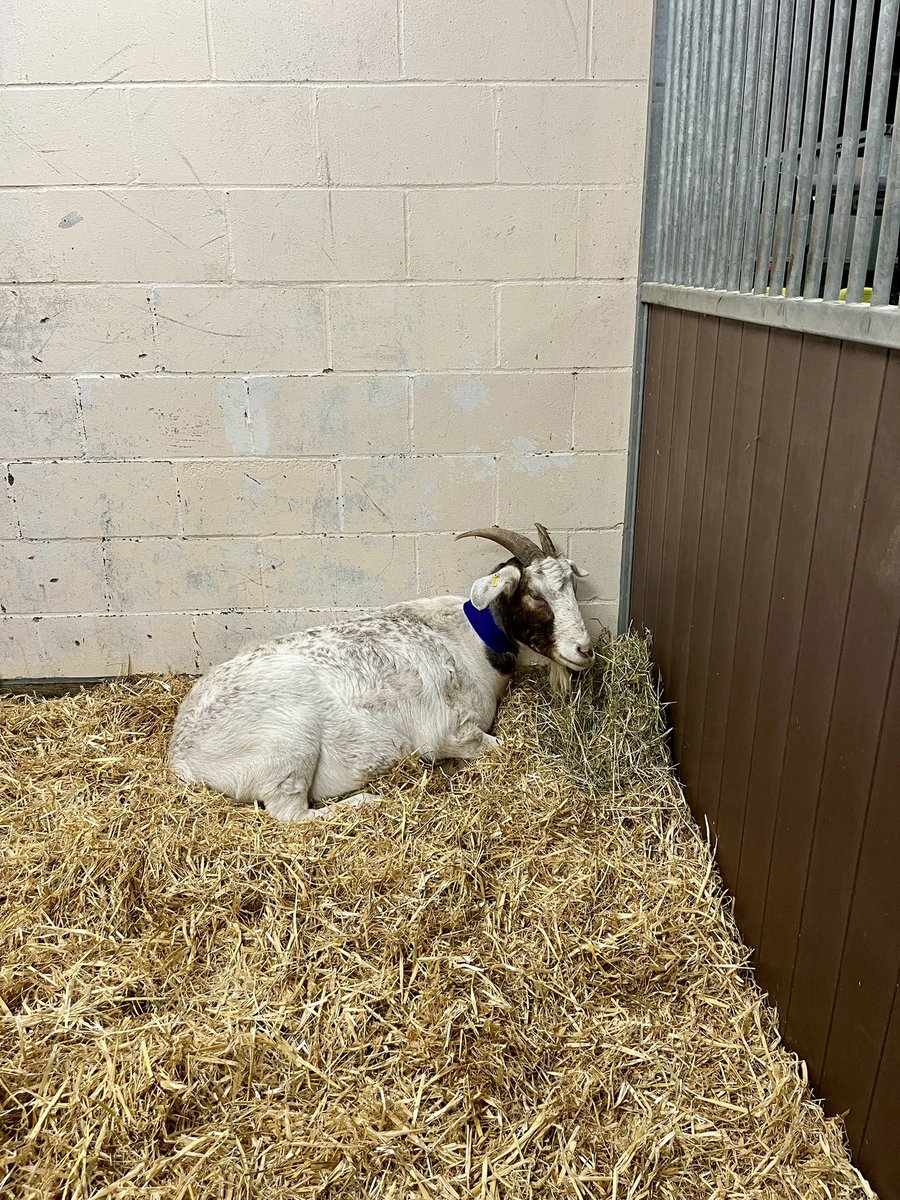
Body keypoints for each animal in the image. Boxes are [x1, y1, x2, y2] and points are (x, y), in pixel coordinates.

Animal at [168, 524, 595, 822]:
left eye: (572, 589)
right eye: (535, 595)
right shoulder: (448, 733)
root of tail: (181, 754)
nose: (585, 650)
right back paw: (364, 801)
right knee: (290, 813)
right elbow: (493, 745)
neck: (466, 638)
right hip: (286, 746)